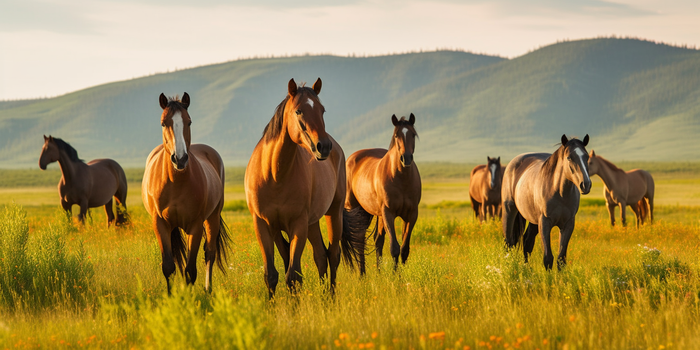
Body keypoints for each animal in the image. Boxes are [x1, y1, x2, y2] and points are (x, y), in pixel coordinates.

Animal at [141, 92, 231, 292]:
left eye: (189, 122)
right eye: (163, 123)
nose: (180, 159)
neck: (176, 181)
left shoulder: (195, 226)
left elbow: (190, 270)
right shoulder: (160, 224)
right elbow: (168, 266)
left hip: (212, 217)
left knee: (210, 253)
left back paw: (208, 289)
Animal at [245, 78, 364, 296]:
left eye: (322, 110)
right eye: (298, 111)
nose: (323, 146)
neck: (274, 175)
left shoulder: (298, 225)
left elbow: (293, 276)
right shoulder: (263, 224)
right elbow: (272, 274)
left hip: (333, 214)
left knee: (333, 255)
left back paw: (331, 298)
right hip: (312, 223)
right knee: (321, 256)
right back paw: (325, 298)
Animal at [344, 113, 422, 272]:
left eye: (413, 134)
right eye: (397, 135)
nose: (406, 158)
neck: (401, 178)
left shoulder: (411, 215)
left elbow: (404, 249)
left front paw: (402, 275)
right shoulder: (388, 213)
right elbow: (394, 248)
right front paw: (395, 275)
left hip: (371, 213)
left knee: (376, 240)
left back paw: (378, 273)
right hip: (354, 209)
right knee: (359, 240)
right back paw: (362, 273)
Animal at [500, 135, 592, 270]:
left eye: (587, 157)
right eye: (569, 157)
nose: (586, 184)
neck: (559, 193)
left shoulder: (568, 224)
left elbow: (561, 259)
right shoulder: (544, 222)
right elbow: (548, 258)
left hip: (533, 220)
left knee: (527, 242)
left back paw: (527, 268)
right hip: (509, 210)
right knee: (508, 243)